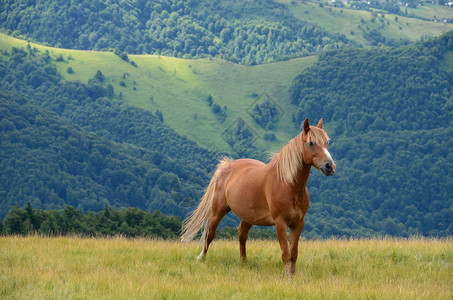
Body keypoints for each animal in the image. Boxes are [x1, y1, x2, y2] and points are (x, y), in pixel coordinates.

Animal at [181, 117, 336, 276]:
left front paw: (293, 276)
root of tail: (227, 165)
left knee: (242, 234)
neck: (288, 184)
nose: (330, 166)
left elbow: (294, 254)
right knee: (210, 233)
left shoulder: (298, 223)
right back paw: (201, 258)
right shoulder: (280, 223)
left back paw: (243, 262)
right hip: (218, 211)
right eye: (311, 143)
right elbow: (286, 254)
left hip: (248, 216)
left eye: (326, 142)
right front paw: (287, 278)